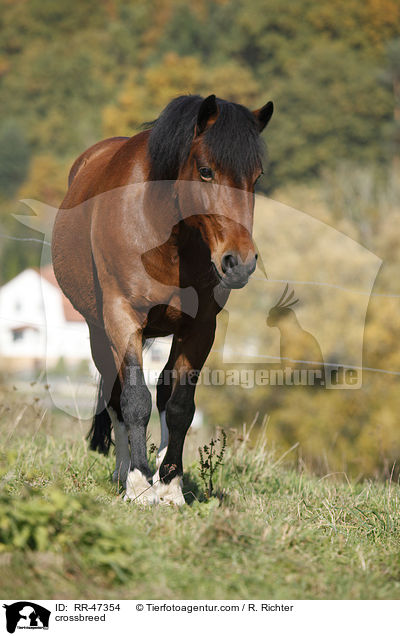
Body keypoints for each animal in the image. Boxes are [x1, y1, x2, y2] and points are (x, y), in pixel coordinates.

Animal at [52, 92, 272, 504]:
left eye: (257, 177)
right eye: (206, 170)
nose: (240, 262)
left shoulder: (200, 327)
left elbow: (180, 404)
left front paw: (169, 485)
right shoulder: (122, 318)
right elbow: (134, 400)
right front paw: (139, 484)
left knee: (164, 393)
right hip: (97, 331)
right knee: (116, 395)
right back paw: (125, 473)